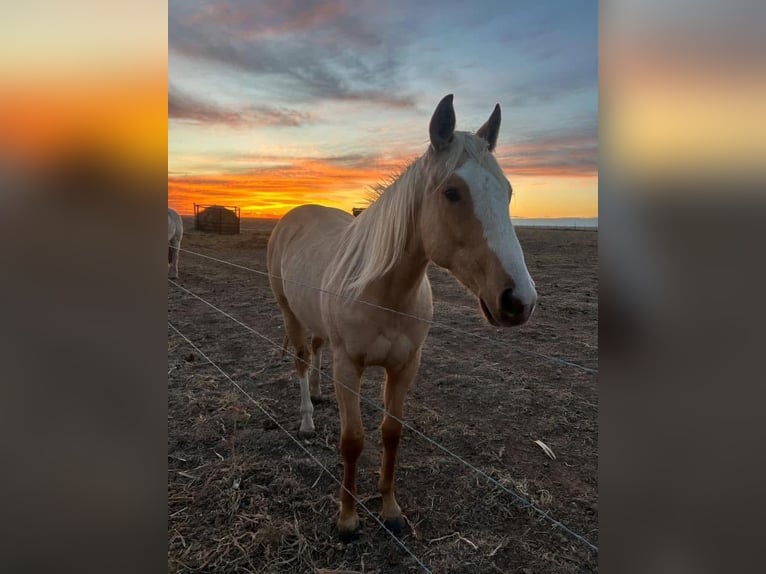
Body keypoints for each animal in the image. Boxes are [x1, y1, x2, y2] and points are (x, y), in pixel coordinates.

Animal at [268, 94, 536, 540]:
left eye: (509, 192)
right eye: (451, 192)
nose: (520, 301)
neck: (384, 294)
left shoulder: (406, 366)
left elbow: (391, 434)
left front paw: (391, 510)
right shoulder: (349, 366)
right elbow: (353, 440)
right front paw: (348, 519)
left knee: (317, 351)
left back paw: (319, 396)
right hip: (289, 311)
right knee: (303, 361)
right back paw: (307, 419)